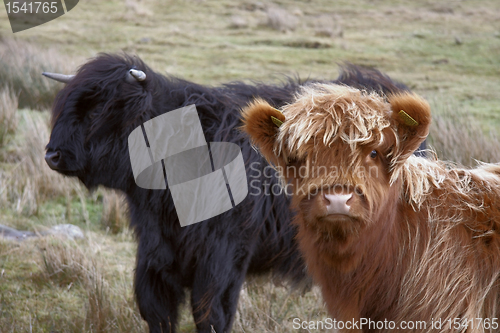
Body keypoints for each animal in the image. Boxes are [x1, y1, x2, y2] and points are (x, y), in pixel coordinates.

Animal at [44, 53, 422, 330]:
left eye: (100, 108)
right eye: (66, 103)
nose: (52, 154)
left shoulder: (223, 255)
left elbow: (212, 312)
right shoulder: (155, 253)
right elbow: (157, 310)